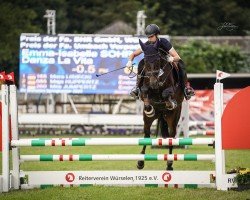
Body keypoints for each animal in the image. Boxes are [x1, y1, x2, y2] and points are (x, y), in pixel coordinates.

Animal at [136, 39, 185, 170]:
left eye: (158, 60)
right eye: (145, 61)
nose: (153, 83)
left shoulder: (170, 89)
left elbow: (166, 93)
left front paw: (170, 102)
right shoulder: (144, 90)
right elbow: (144, 92)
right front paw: (149, 108)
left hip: (173, 117)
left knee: (171, 136)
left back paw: (169, 163)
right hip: (148, 120)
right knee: (146, 135)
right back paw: (140, 161)